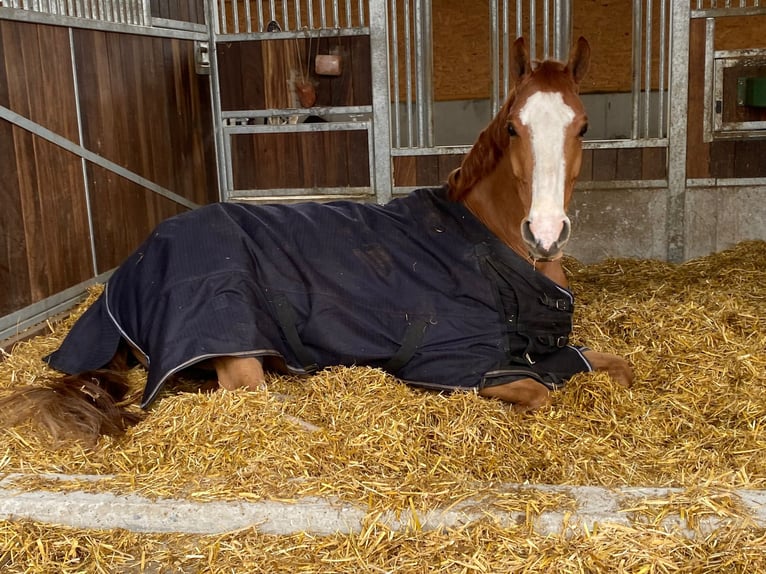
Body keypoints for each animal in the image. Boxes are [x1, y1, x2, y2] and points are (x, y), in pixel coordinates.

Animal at [0, 38, 636, 448]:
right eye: (512, 126)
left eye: (582, 126)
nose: (545, 233)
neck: (489, 253)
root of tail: (129, 270)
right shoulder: (456, 364)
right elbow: (539, 393)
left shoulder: (557, 350)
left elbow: (618, 369)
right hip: (231, 337)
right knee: (252, 399)